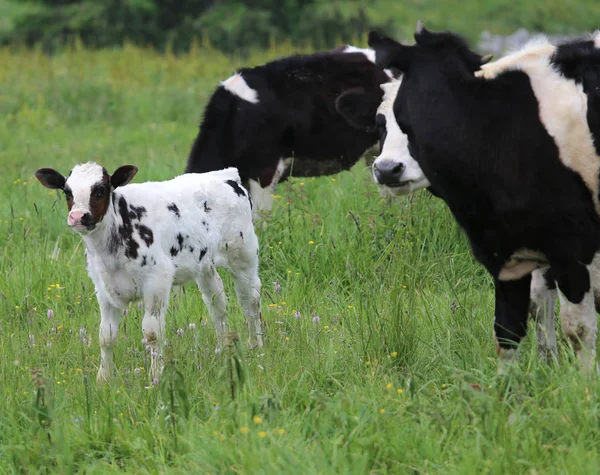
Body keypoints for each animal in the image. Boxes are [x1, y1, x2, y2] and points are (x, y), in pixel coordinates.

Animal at [36, 162, 262, 384]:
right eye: (68, 192)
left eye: (100, 190)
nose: (77, 217)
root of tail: (225, 174)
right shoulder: (103, 288)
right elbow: (106, 336)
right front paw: (103, 379)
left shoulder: (157, 281)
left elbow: (152, 333)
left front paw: (156, 377)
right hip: (205, 265)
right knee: (217, 303)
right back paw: (223, 350)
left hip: (243, 255)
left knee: (250, 300)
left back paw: (255, 346)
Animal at [368, 23, 600, 372]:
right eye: (379, 124)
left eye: (403, 121)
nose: (387, 169)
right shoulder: (510, 256)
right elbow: (508, 329)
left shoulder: (574, 250)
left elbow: (579, 330)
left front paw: (581, 383)